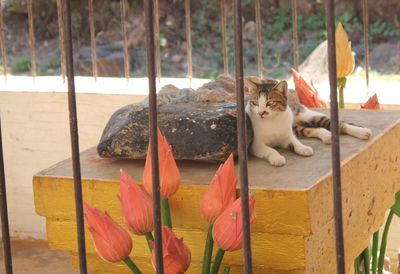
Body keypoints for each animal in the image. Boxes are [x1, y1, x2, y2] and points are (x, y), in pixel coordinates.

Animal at [245, 77, 374, 167]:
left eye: (269, 103)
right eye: (255, 103)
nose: (261, 113)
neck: (272, 121)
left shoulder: (287, 135)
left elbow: (295, 142)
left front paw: (303, 148)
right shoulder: (256, 145)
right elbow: (270, 150)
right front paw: (277, 158)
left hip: (304, 114)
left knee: (337, 124)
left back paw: (362, 132)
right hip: (297, 127)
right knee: (311, 129)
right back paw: (326, 135)